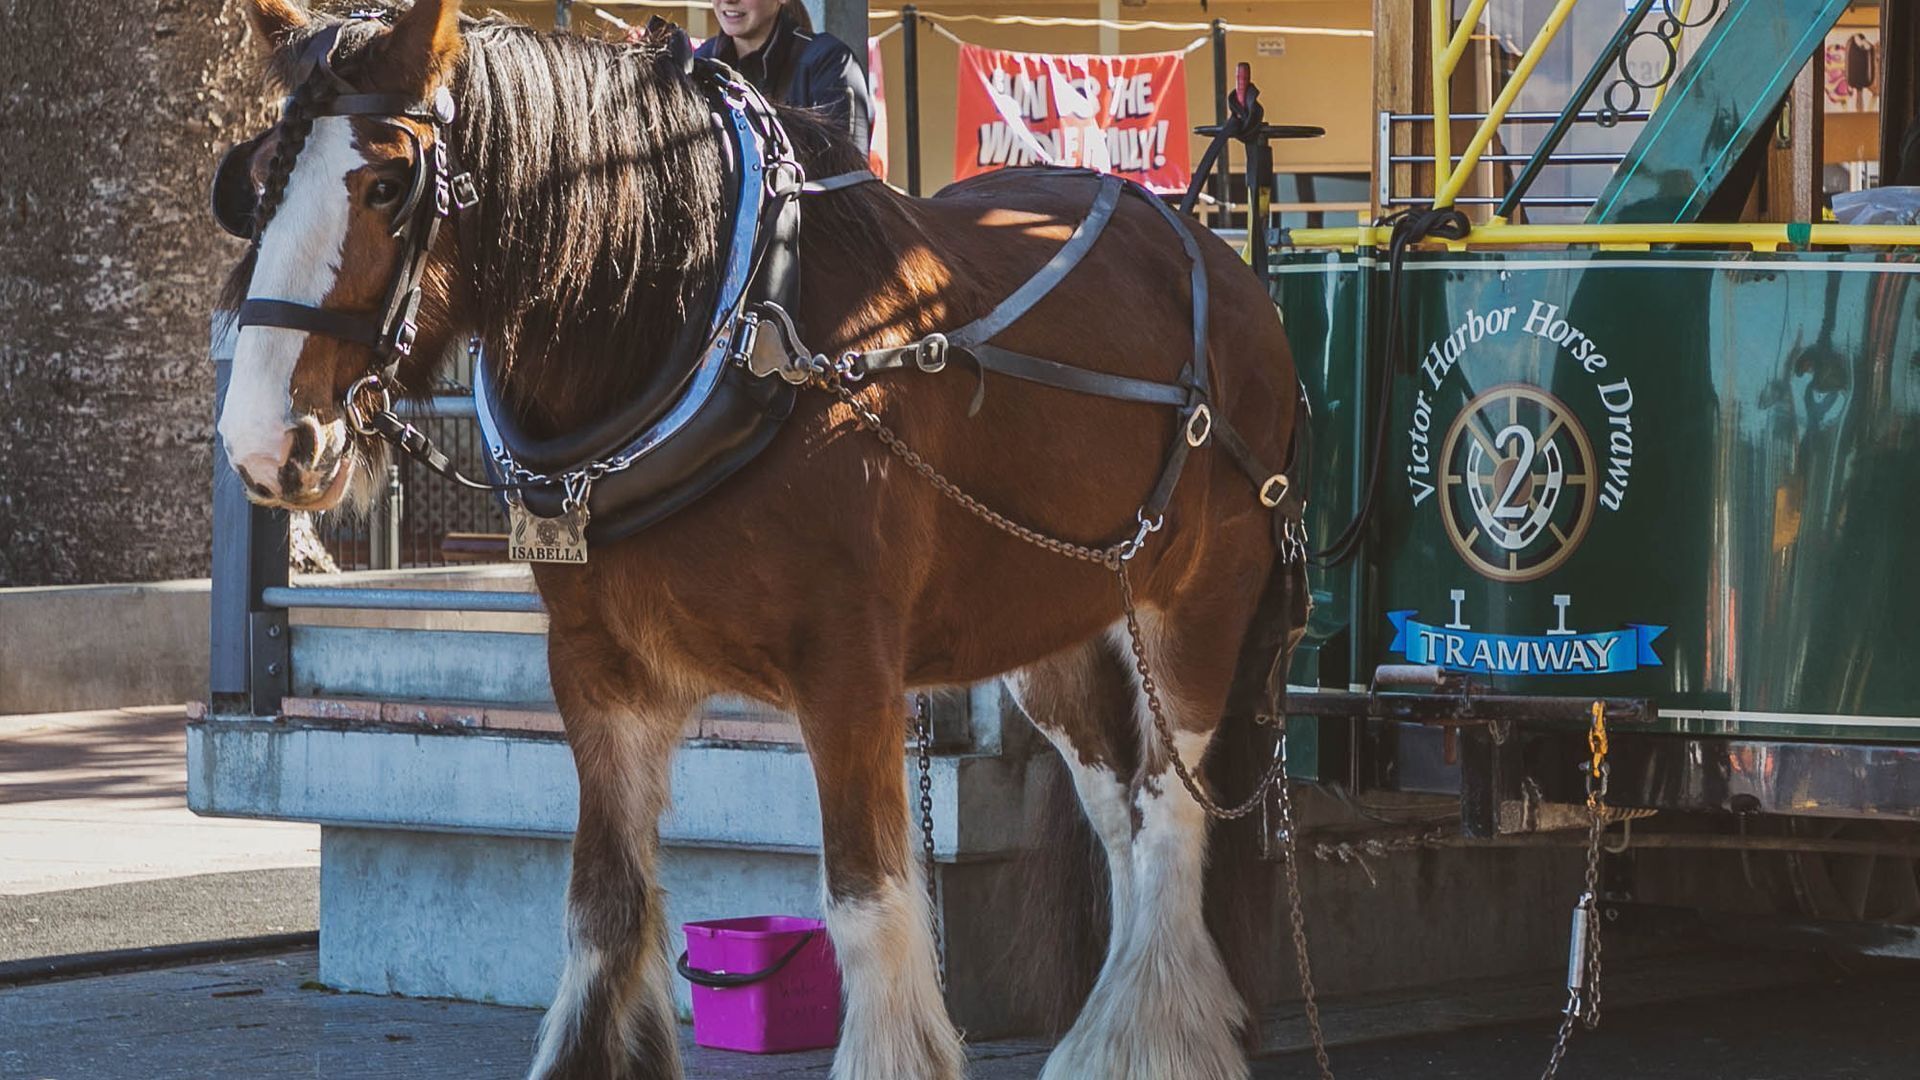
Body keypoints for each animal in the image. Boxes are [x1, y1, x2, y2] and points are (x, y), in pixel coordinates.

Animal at [212, 3, 1306, 1078]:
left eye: (387, 184)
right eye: (259, 180)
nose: (264, 442)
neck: (733, 325)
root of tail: (1217, 259)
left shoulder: (849, 674)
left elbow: (869, 904)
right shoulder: (600, 676)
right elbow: (602, 906)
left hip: (1199, 606)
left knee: (1171, 815)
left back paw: (1147, 1039)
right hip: (1056, 631)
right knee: (1118, 811)